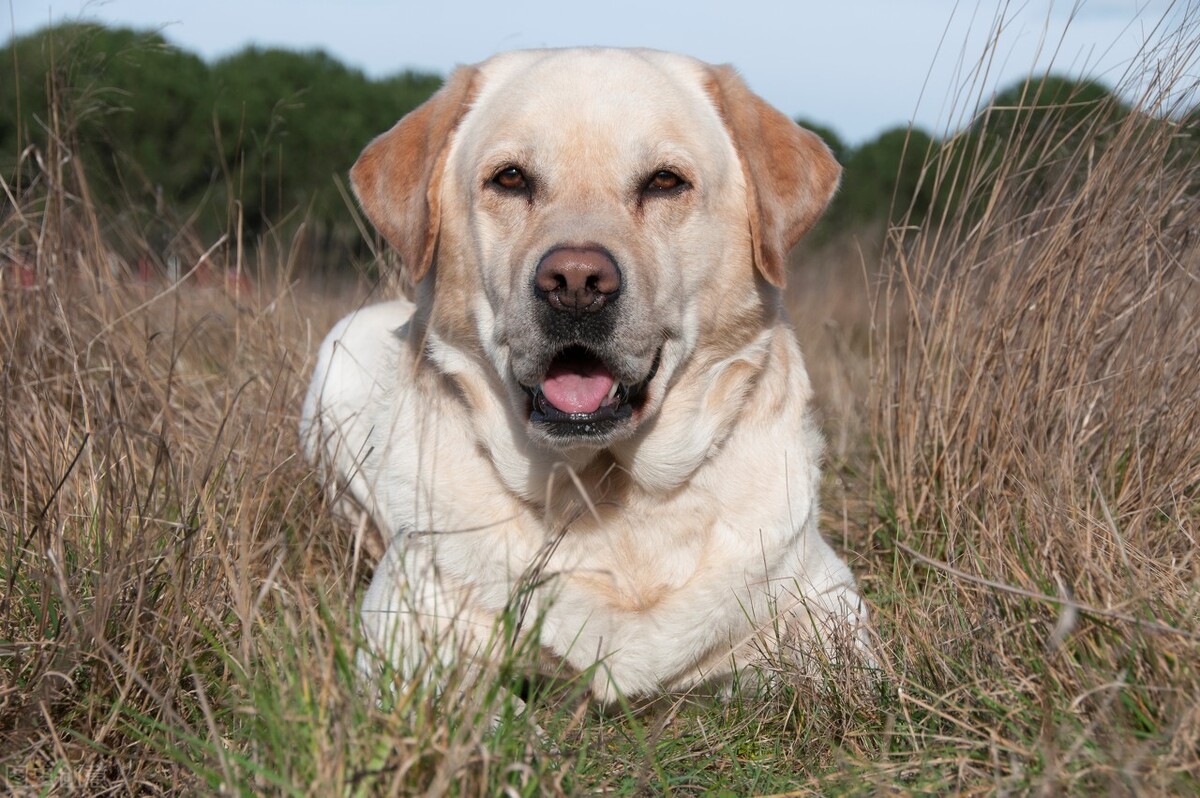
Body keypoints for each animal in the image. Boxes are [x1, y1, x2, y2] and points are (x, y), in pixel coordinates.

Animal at [298, 46, 864, 700]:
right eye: (510, 178)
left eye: (665, 181)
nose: (574, 282)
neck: (605, 493)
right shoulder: (402, 636)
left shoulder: (831, 603)